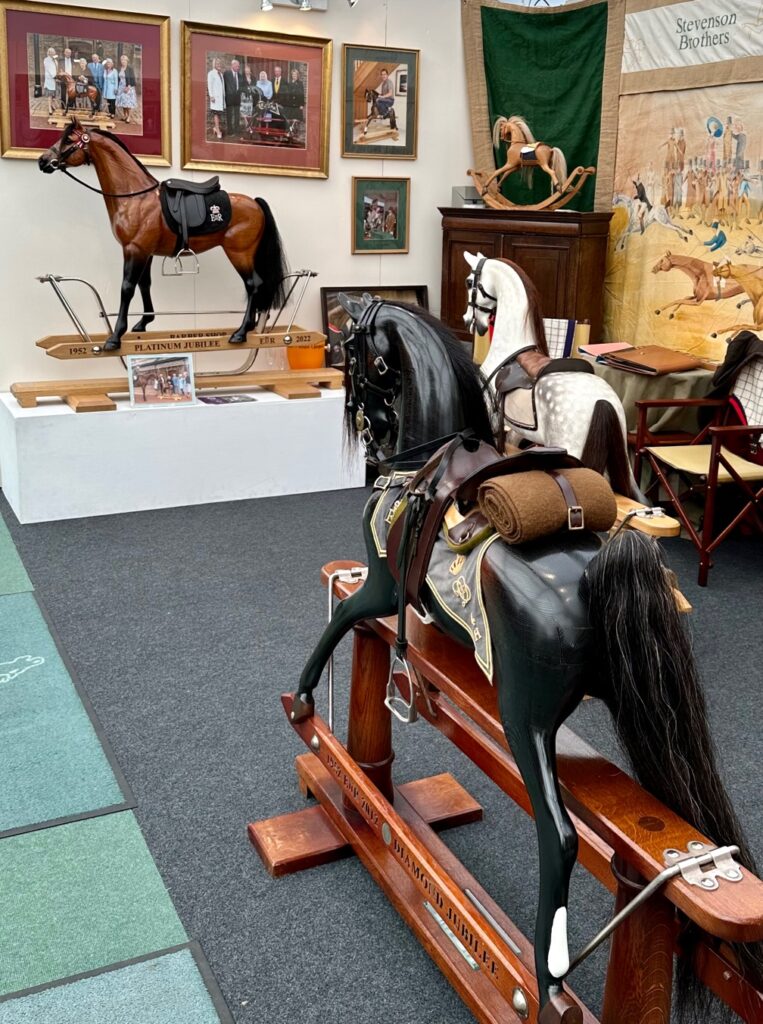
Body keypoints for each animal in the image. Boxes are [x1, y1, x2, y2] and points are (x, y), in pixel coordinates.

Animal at [37, 118, 286, 352]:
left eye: (68, 140)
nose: (42, 161)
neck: (134, 198)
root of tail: (255, 203)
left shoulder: (134, 249)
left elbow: (127, 288)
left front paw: (115, 337)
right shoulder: (145, 252)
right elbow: (144, 285)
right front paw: (143, 323)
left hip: (239, 253)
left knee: (253, 285)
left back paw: (241, 332)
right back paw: (249, 327)